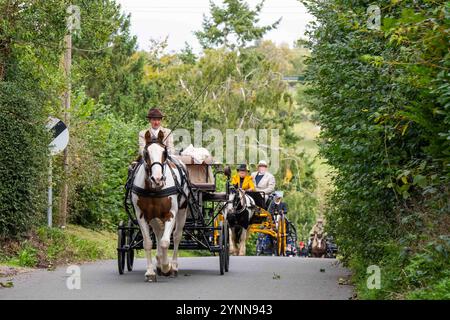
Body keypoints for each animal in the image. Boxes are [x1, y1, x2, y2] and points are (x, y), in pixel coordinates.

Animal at [130, 129, 188, 282]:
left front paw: (167, 267)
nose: (157, 179)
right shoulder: (141, 215)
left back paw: (173, 266)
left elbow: (165, 242)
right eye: (145, 153)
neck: (154, 189)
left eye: (164, 153)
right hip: (154, 217)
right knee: (158, 232)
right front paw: (151, 272)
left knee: (176, 236)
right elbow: (148, 243)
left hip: (182, 210)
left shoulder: (170, 213)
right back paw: (159, 261)